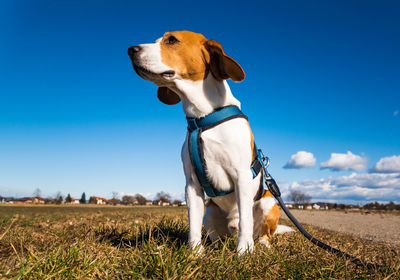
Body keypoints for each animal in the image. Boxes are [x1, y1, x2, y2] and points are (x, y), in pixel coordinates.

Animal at [130, 30, 292, 254]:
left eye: (171, 40)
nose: (130, 50)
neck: (203, 118)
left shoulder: (241, 176)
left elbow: (246, 222)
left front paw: (243, 252)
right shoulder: (192, 185)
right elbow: (193, 225)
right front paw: (194, 253)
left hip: (269, 203)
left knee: (260, 231)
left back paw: (261, 243)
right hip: (210, 211)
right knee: (216, 236)